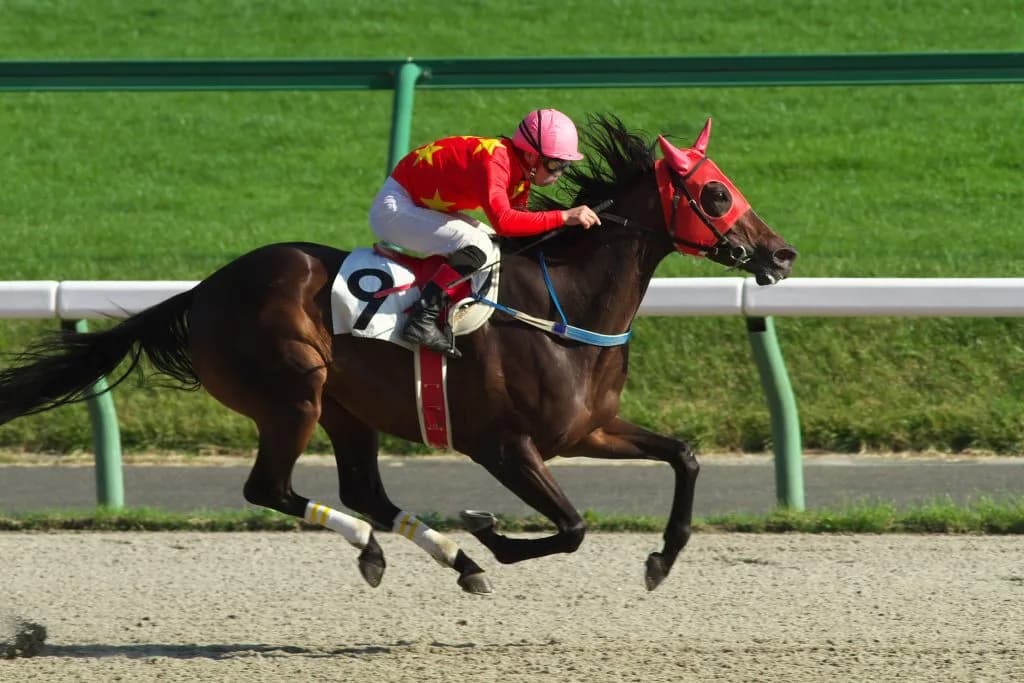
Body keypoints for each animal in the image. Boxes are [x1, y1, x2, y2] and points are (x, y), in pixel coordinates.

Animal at [0, 115, 796, 594]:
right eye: (716, 194)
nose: (782, 253)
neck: (564, 307)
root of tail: (203, 290)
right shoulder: (503, 445)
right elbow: (571, 529)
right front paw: (493, 533)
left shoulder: (588, 429)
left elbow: (684, 457)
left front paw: (661, 558)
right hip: (293, 393)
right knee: (272, 488)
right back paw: (396, 548)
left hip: (346, 409)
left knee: (365, 492)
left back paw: (448, 557)